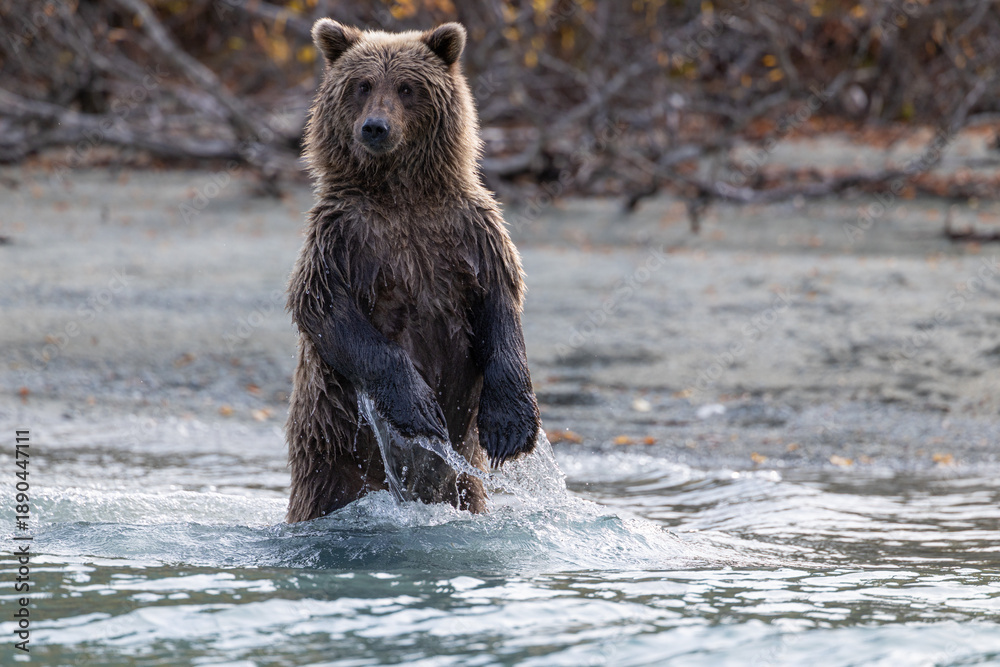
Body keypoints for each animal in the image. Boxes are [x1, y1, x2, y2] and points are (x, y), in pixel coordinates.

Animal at [284, 19, 541, 523]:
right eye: (362, 85)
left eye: (406, 87)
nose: (375, 127)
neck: (401, 195)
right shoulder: (342, 240)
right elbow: (329, 311)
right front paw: (419, 409)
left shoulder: (470, 233)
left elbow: (500, 304)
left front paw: (510, 426)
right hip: (331, 452)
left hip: (461, 480)